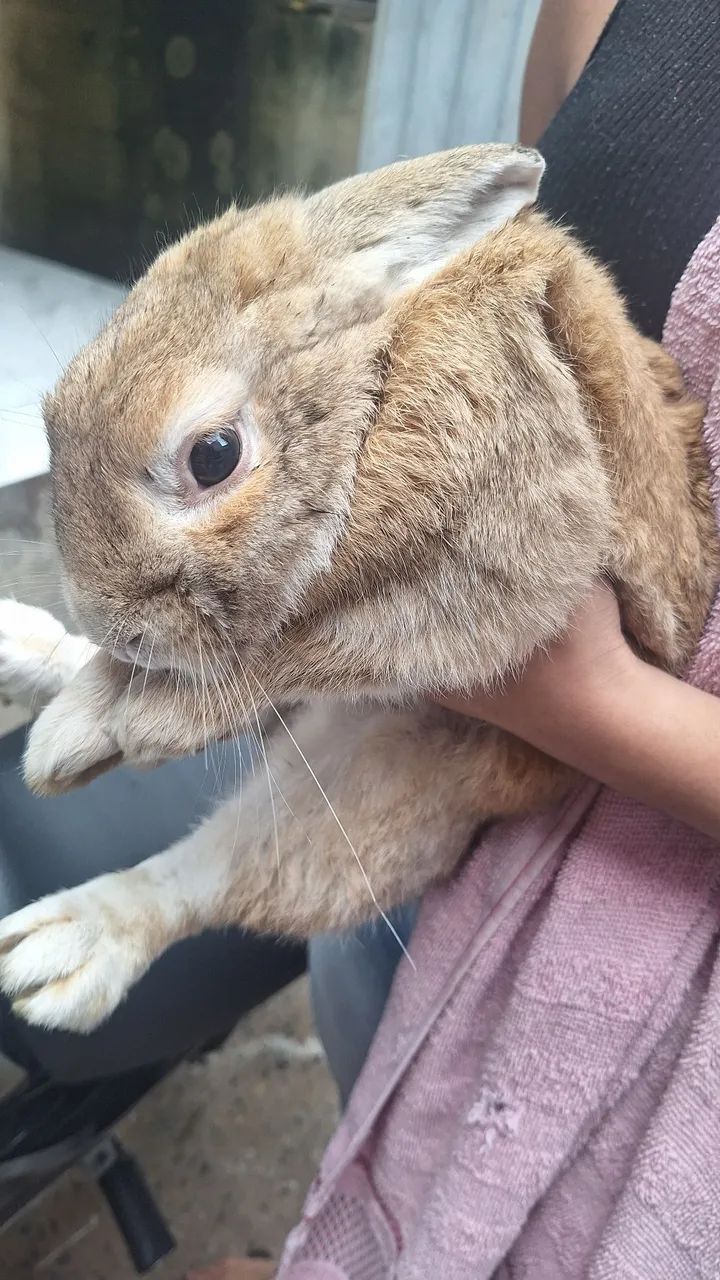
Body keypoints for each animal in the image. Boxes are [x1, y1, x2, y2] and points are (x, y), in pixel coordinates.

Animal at [0, 143, 716, 1034]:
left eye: (214, 456)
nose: (111, 620)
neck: (370, 392)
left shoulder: (487, 570)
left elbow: (297, 649)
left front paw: (115, 727)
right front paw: (90, 713)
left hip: (390, 783)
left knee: (221, 874)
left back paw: (60, 947)